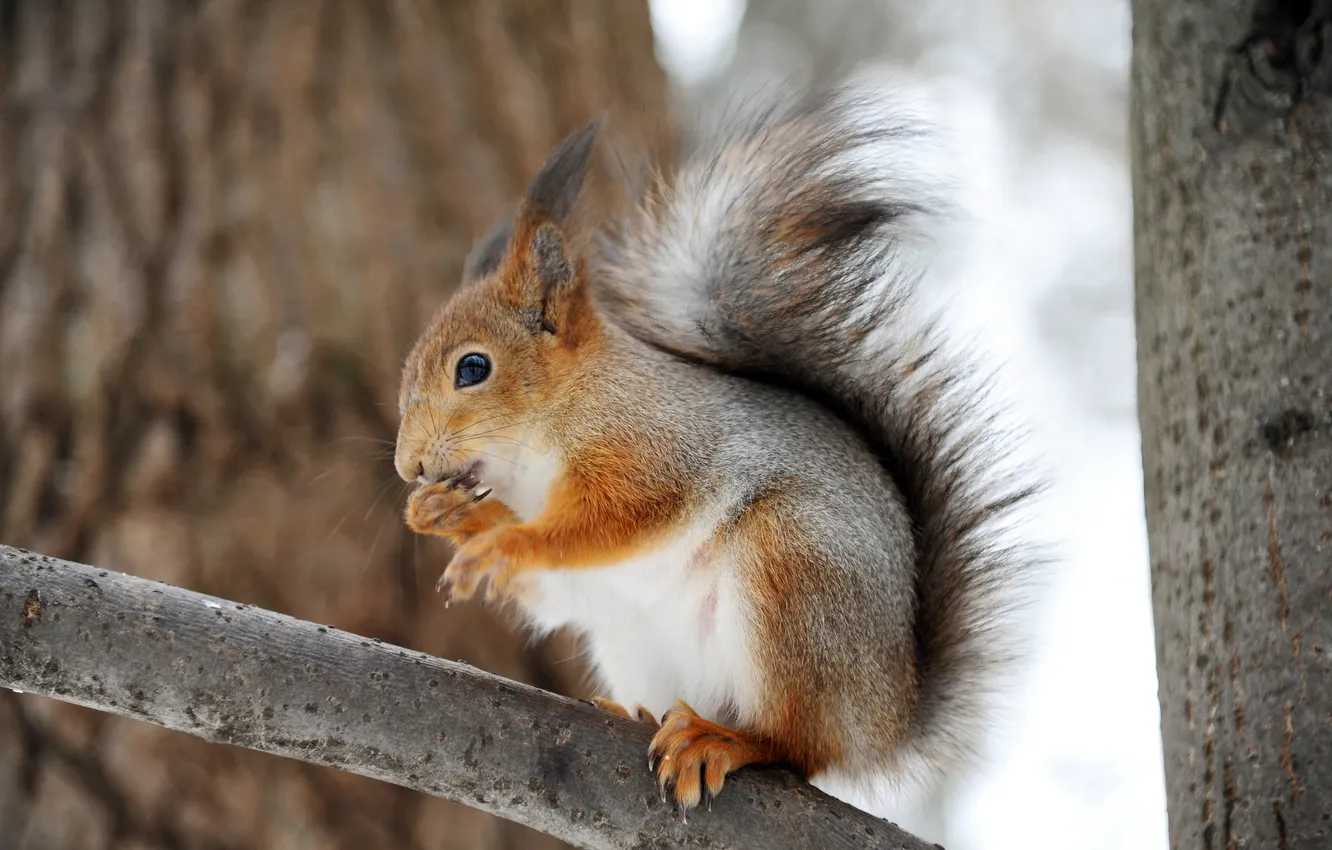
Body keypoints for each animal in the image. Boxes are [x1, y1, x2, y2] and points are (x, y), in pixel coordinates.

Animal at [394, 87, 1039, 822]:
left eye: (473, 368)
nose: (410, 466)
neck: (549, 433)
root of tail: (888, 718)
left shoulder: (656, 452)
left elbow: (606, 524)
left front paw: (505, 544)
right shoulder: (574, 579)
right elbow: (552, 591)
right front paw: (446, 515)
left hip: (795, 568)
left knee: (800, 747)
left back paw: (723, 739)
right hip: (635, 637)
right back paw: (636, 713)